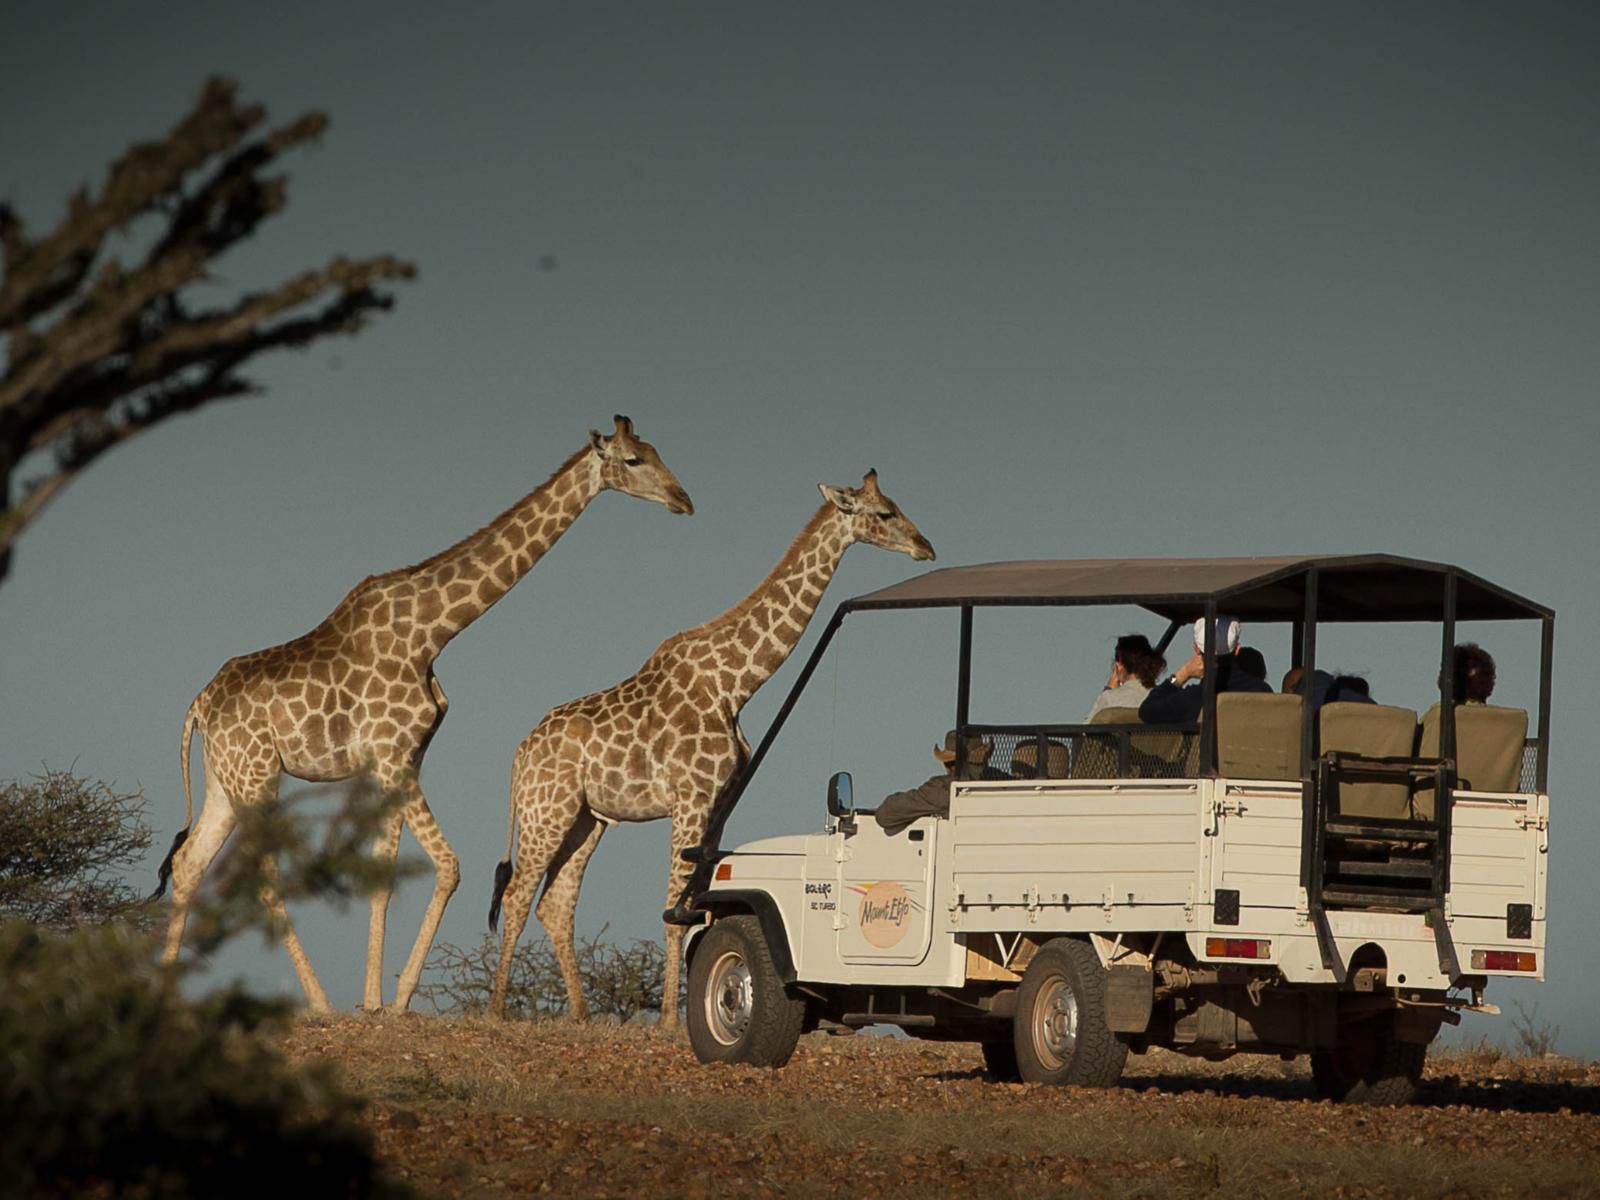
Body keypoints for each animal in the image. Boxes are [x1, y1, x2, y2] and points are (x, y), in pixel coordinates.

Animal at [151, 419, 694, 1011]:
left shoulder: (402, 758)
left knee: (188, 862)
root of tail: (200, 705)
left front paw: (373, 1002)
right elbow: (449, 866)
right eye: (634, 459)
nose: (683, 499)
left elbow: (382, 875)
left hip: (225, 779)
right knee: (262, 874)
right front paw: (399, 998)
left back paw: (166, 991)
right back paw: (318, 1002)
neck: (431, 631)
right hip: (257, 774)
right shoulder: (393, 757)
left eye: (656, 451)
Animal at [486, 470, 934, 1024]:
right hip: (545, 810)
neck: (735, 684)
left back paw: (581, 1016)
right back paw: (496, 1011)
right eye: (885, 513)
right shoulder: (691, 796)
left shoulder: (718, 803)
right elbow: (675, 910)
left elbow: (697, 901)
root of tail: (520, 753)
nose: (925, 546)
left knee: (554, 901)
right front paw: (670, 1022)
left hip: (586, 819)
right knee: (518, 893)